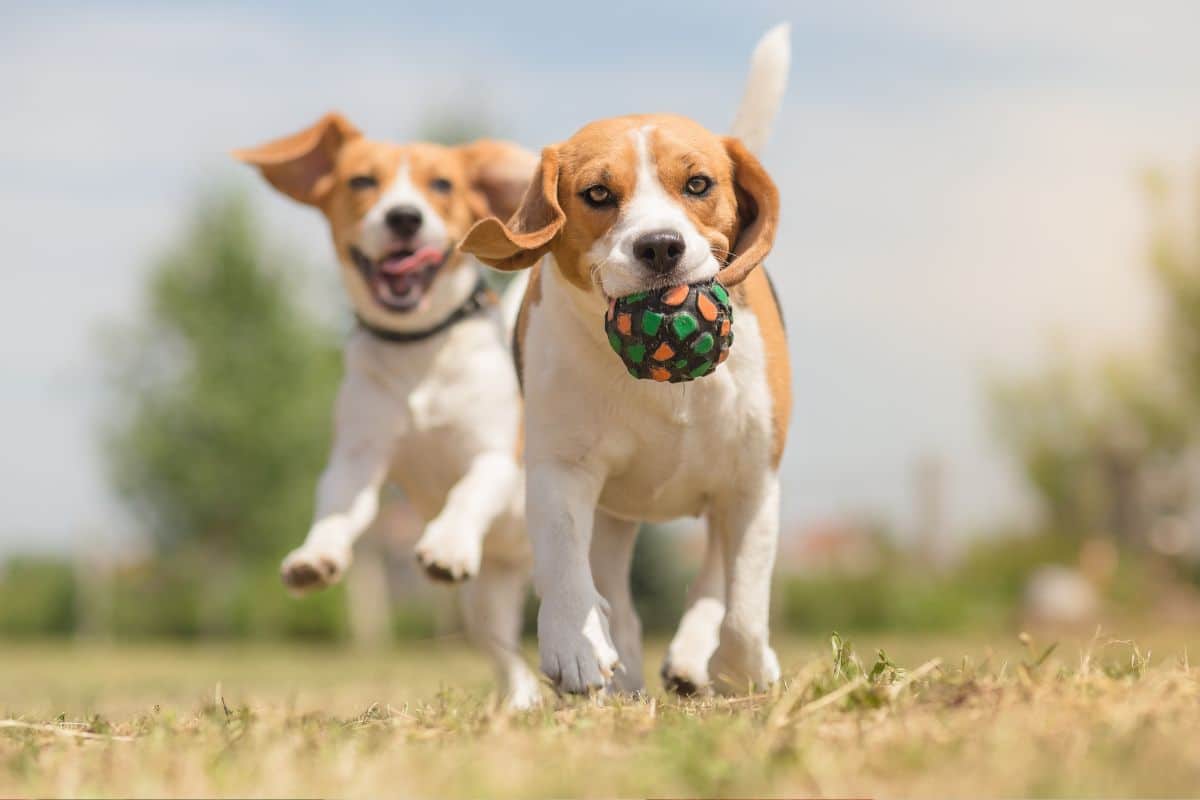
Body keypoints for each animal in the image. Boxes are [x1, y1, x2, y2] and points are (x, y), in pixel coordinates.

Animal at [232, 113, 540, 705]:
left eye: (441, 184)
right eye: (361, 181)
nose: (403, 217)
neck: (416, 348)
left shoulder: (496, 456)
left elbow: (468, 490)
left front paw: (447, 541)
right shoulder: (356, 459)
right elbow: (336, 510)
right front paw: (316, 557)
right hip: (486, 596)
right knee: (507, 652)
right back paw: (523, 699)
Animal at [463, 25, 792, 695]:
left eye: (698, 185)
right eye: (597, 193)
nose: (660, 246)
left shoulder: (753, 477)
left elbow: (744, 609)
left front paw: (745, 671)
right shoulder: (561, 467)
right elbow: (565, 562)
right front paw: (576, 644)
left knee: (713, 581)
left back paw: (691, 654)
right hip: (613, 517)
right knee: (616, 591)